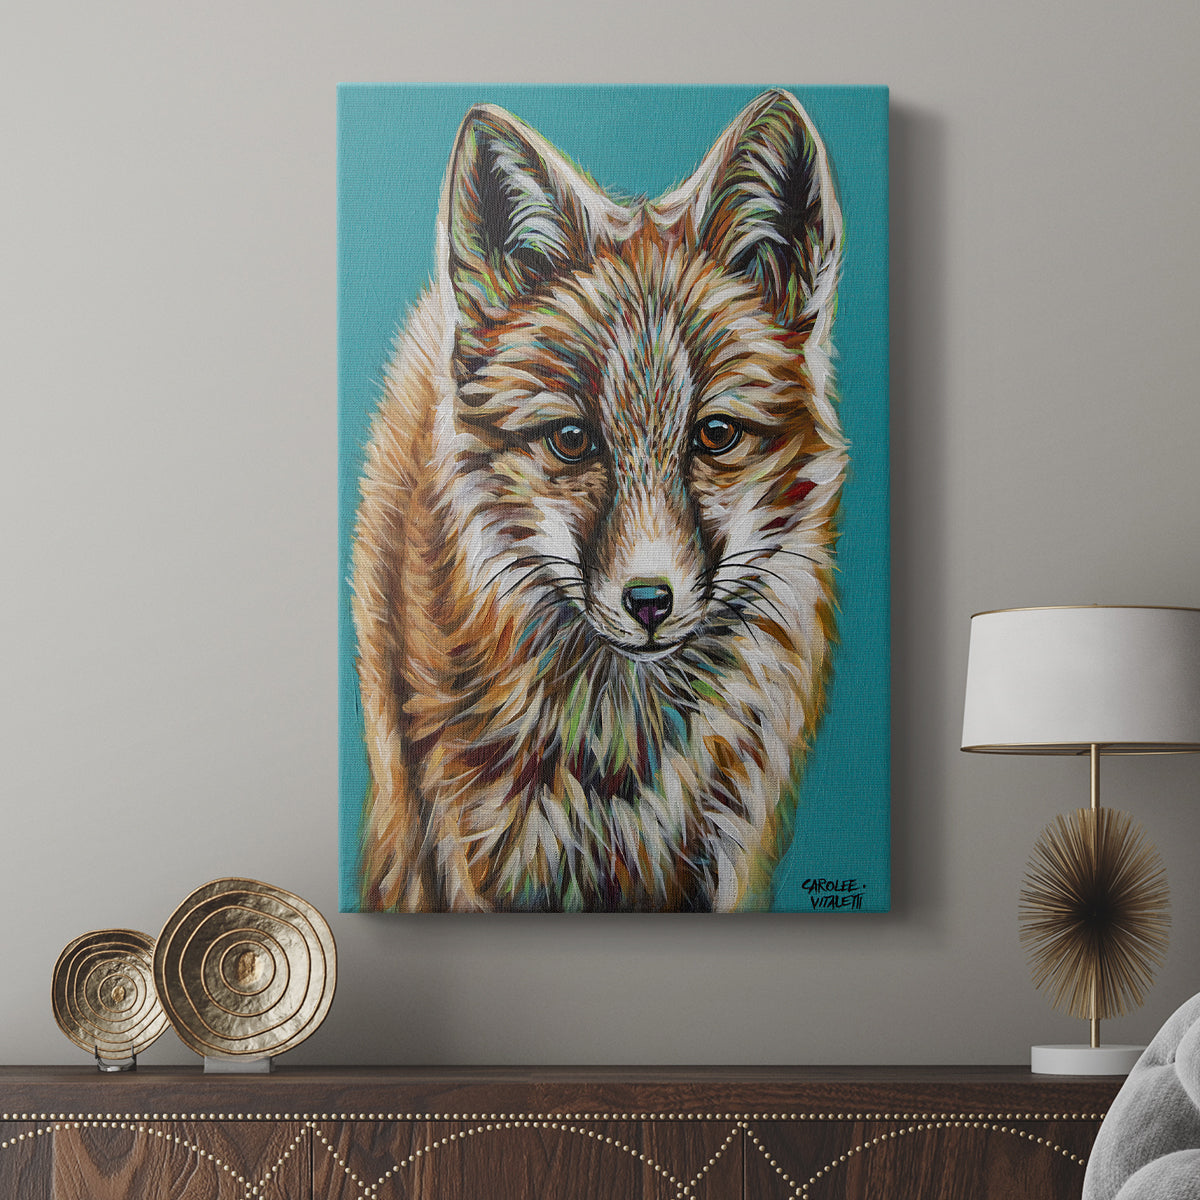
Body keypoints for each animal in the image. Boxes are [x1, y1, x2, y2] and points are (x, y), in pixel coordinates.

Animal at [351, 88, 846, 912]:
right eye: (572, 440)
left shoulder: (725, 856)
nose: (649, 601)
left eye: (715, 434)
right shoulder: (474, 854)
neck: (621, 766)